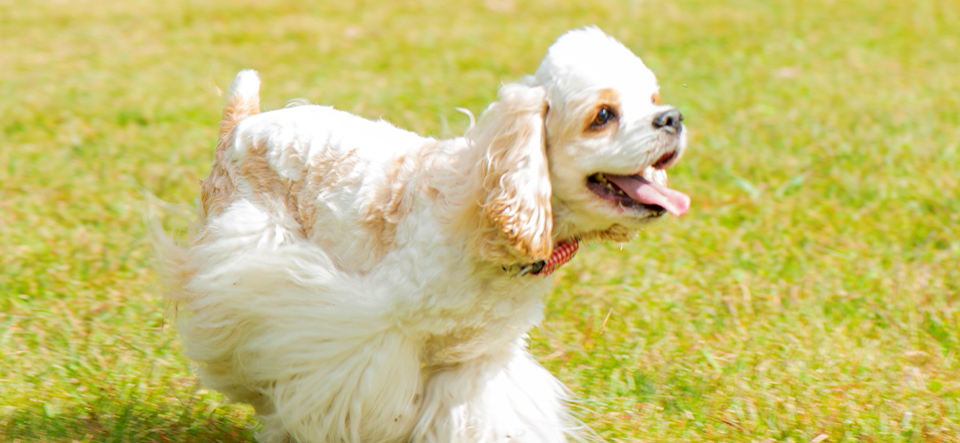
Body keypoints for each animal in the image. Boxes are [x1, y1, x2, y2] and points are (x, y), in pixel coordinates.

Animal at [163, 28, 688, 443]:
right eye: (602, 115)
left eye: (653, 99)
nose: (673, 118)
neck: (483, 211)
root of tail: (243, 121)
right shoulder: (370, 336)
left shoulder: (474, 361)